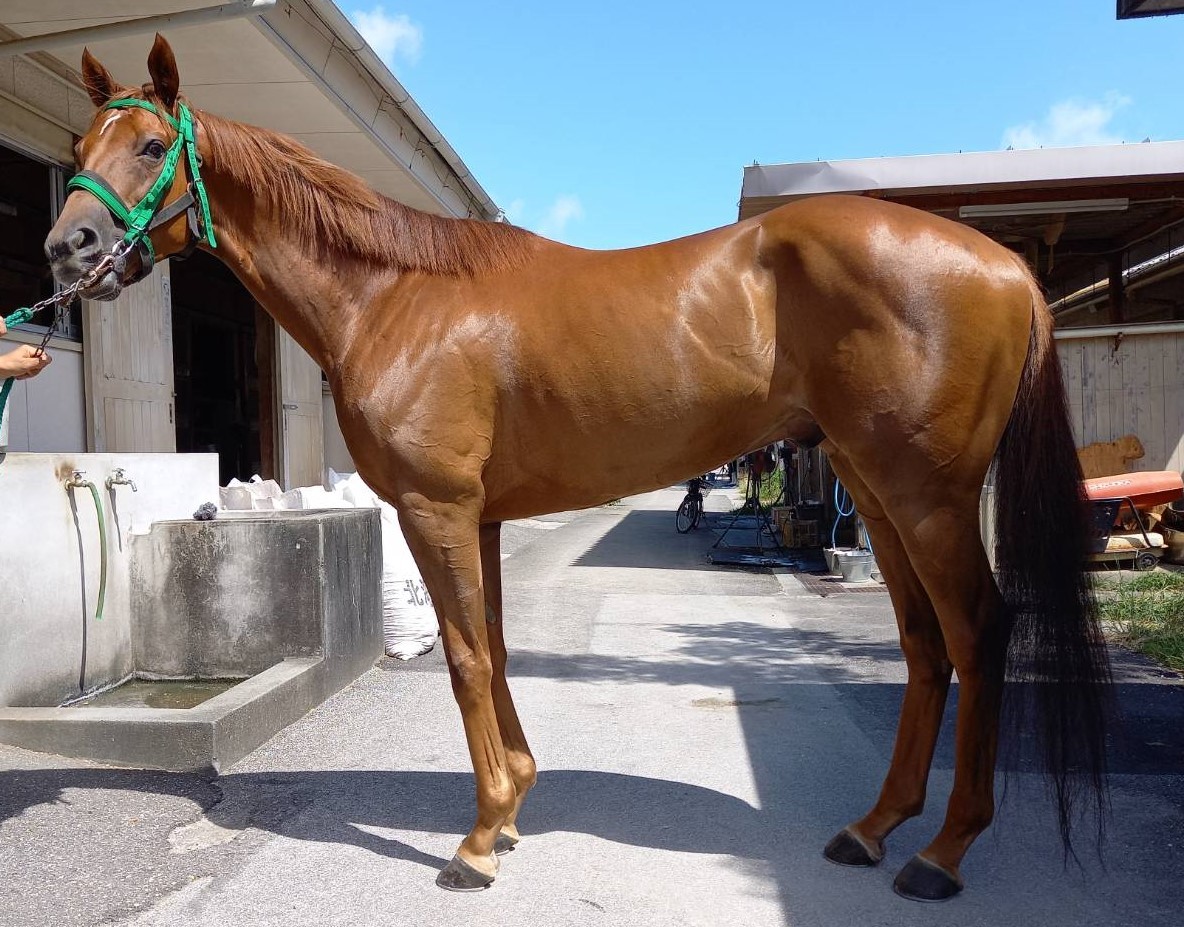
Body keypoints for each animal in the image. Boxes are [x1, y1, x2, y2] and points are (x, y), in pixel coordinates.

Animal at [46, 35, 1110, 902]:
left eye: (150, 147)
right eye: (78, 151)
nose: (67, 250)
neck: (395, 297)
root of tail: (1004, 265)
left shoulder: (436, 510)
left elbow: (466, 658)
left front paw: (477, 841)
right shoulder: (478, 516)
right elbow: (495, 646)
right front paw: (513, 803)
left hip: (927, 497)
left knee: (978, 634)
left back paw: (942, 853)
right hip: (881, 495)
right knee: (926, 646)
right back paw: (875, 828)